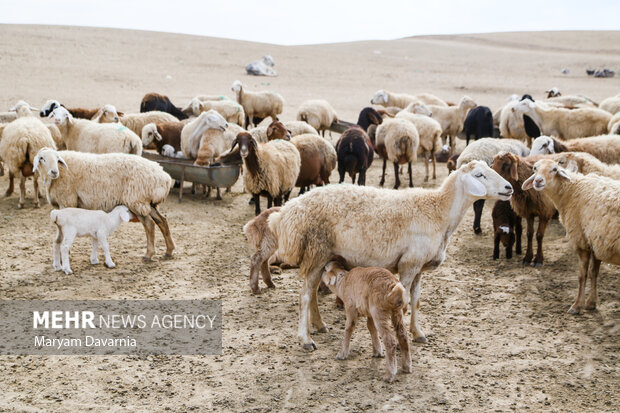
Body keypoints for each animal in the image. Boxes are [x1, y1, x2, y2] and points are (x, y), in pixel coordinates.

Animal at [33, 148, 174, 260]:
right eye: (42, 158)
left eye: (57, 159)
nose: (54, 172)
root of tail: (164, 177)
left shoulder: (67, 201)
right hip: (148, 203)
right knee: (162, 221)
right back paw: (169, 251)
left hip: (137, 200)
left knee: (149, 225)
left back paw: (149, 255)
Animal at [266, 160, 512, 348]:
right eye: (479, 175)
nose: (509, 187)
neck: (438, 211)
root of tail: (287, 213)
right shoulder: (408, 265)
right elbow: (403, 303)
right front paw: (402, 336)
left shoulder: (418, 267)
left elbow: (416, 300)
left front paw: (417, 332)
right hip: (316, 251)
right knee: (305, 296)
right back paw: (305, 339)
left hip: (321, 256)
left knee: (313, 293)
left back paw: (319, 325)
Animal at [524, 159, 620, 312]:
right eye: (535, 168)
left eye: (554, 169)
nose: (538, 181)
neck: (573, 190)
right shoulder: (595, 242)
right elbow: (594, 273)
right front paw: (591, 303)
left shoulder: (581, 241)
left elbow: (582, 275)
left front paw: (577, 305)